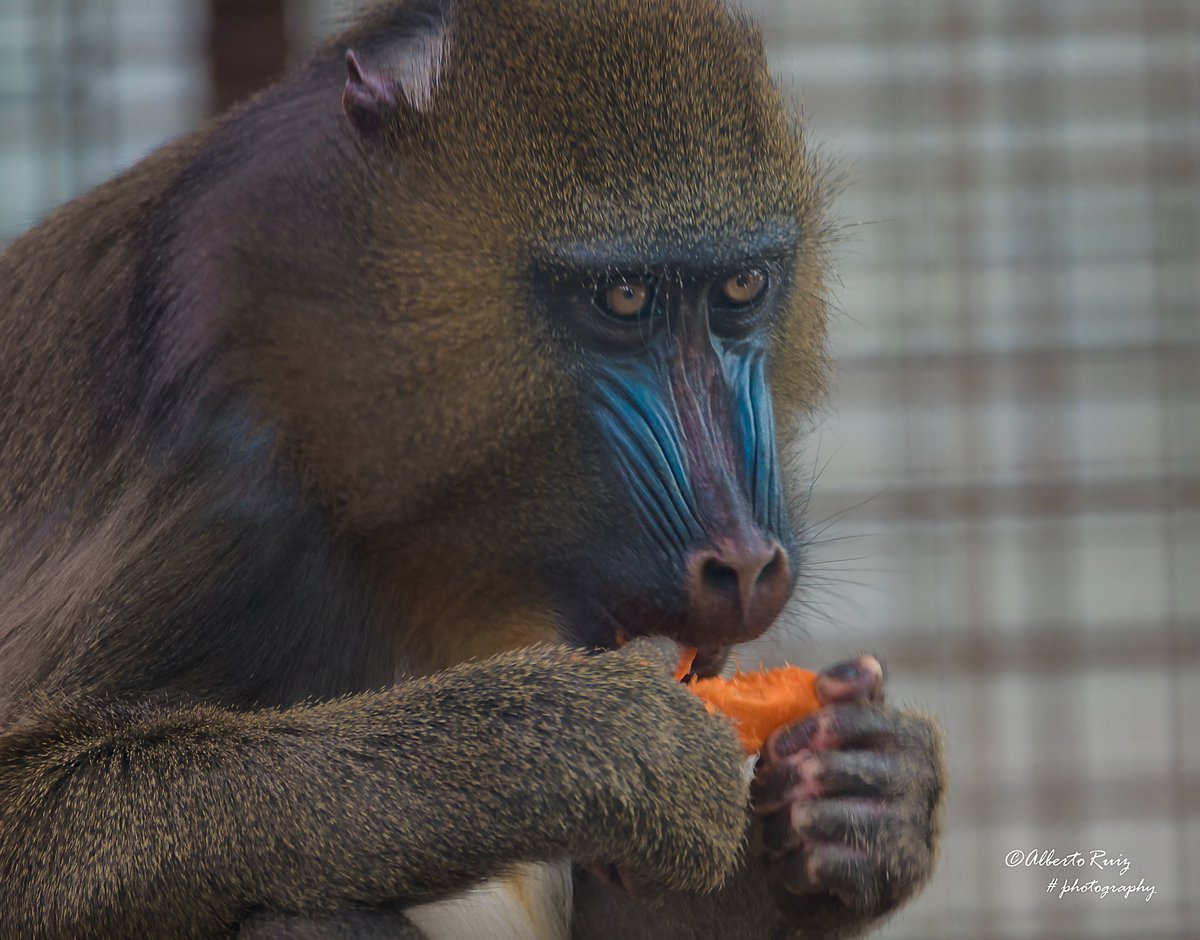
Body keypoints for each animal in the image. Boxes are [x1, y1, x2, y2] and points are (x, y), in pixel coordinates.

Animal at [0, 0, 946, 937]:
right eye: (623, 298)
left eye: (741, 288)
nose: (745, 564)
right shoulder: (220, 495)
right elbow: (27, 817)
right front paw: (601, 743)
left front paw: (857, 798)